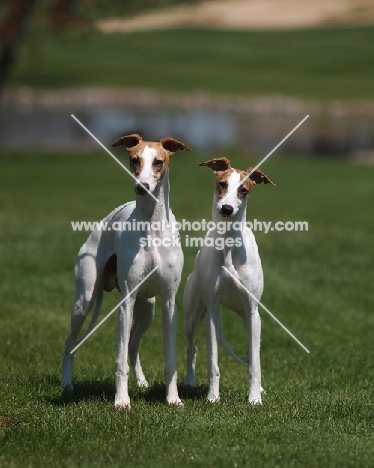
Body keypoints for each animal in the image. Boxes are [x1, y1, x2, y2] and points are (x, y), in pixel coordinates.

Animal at [62, 133, 191, 408]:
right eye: (134, 160)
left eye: (158, 162)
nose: (142, 187)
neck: (151, 225)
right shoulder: (127, 301)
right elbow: (119, 359)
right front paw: (121, 400)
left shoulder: (169, 302)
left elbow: (170, 360)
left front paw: (173, 398)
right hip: (85, 300)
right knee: (70, 343)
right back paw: (66, 384)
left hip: (148, 309)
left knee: (133, 345)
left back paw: (141, 382)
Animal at [184, 158, 274, 406]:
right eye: (222, 184)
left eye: (244, 190)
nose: (226, 209)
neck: (229, 244)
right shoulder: (213, 309)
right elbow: (213, 360)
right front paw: (213, 397)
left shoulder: (252, 310)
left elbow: (255, 362)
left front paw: (254, 399)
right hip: (193, 316)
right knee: (192, 347)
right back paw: (189, 380)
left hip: (249, 318)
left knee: (251, 353)